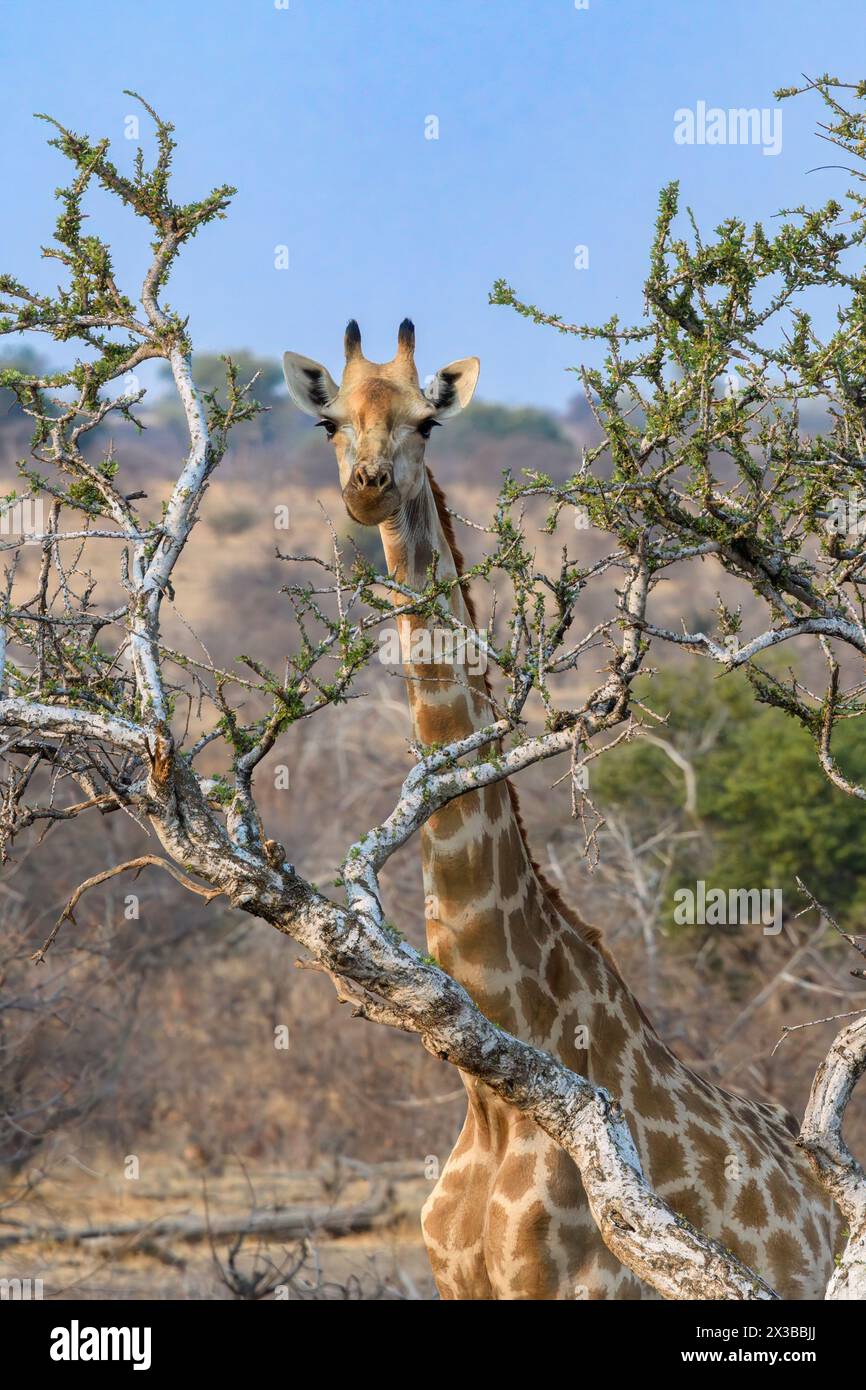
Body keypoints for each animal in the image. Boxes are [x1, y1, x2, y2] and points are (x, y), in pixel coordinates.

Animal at [282, 320, 838, 1300]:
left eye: (427, 421)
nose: (367, 489)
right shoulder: (456, 1282)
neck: (497, 1092)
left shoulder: (577, 1284)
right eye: (330, 424)